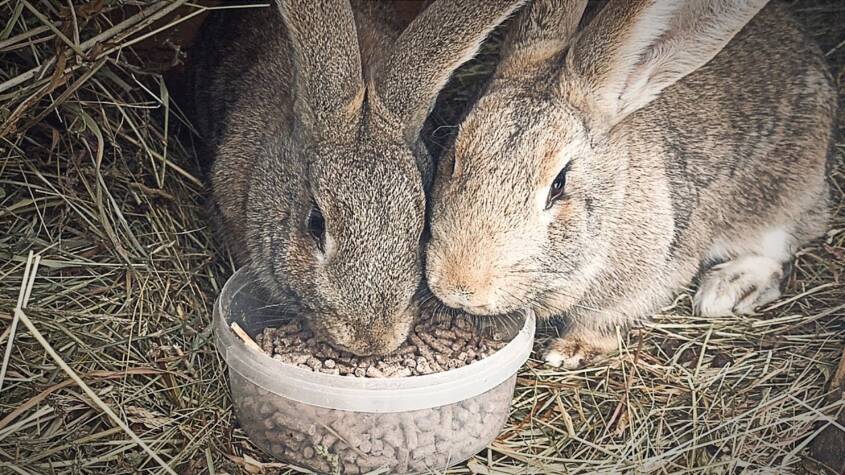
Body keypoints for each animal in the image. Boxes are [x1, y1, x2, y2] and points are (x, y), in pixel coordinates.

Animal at [424, 0, 837, 369]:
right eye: (455, 156)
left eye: (559, 184)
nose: (461, 289)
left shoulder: (646, 278)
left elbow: (603, 322)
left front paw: (569, 351)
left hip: (780, 199)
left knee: (779, 251)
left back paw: (725, 289)